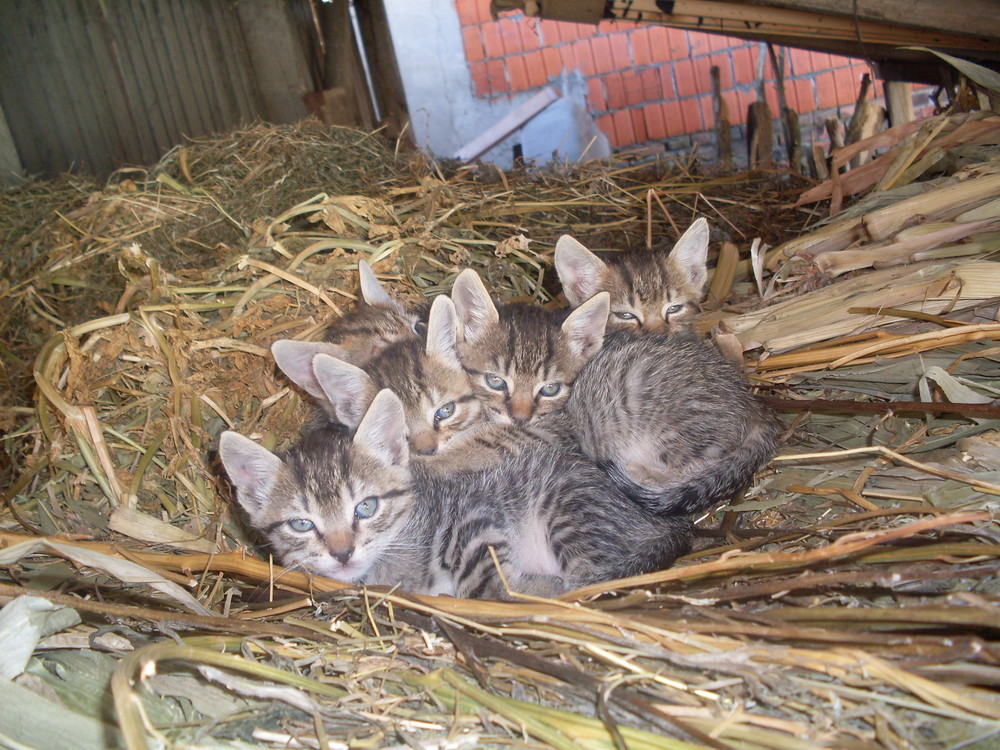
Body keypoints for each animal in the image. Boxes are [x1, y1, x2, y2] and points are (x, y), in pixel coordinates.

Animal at [220, 388, 692, 600]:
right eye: (302, 523)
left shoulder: (471, 518)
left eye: (366, 507)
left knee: (589, 578)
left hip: (570, 508)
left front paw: (525, 590)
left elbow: (489, 587)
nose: (341, 553)